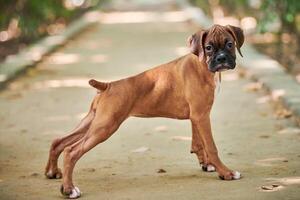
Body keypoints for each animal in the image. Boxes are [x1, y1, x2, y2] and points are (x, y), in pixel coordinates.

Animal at [45, 24, 245, 198]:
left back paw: (53, 173)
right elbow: (211, 146)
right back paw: (69, 189)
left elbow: (198, 143)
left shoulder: (197, 115)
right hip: (105, 127)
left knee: (59, 141)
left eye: (229, 44)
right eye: (209, 47)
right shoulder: (201, 115)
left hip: (92, 122)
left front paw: (206, 165)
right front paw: (225, 172)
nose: (221, 58)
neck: (201, 64)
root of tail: (107, 86)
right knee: (71, 151)